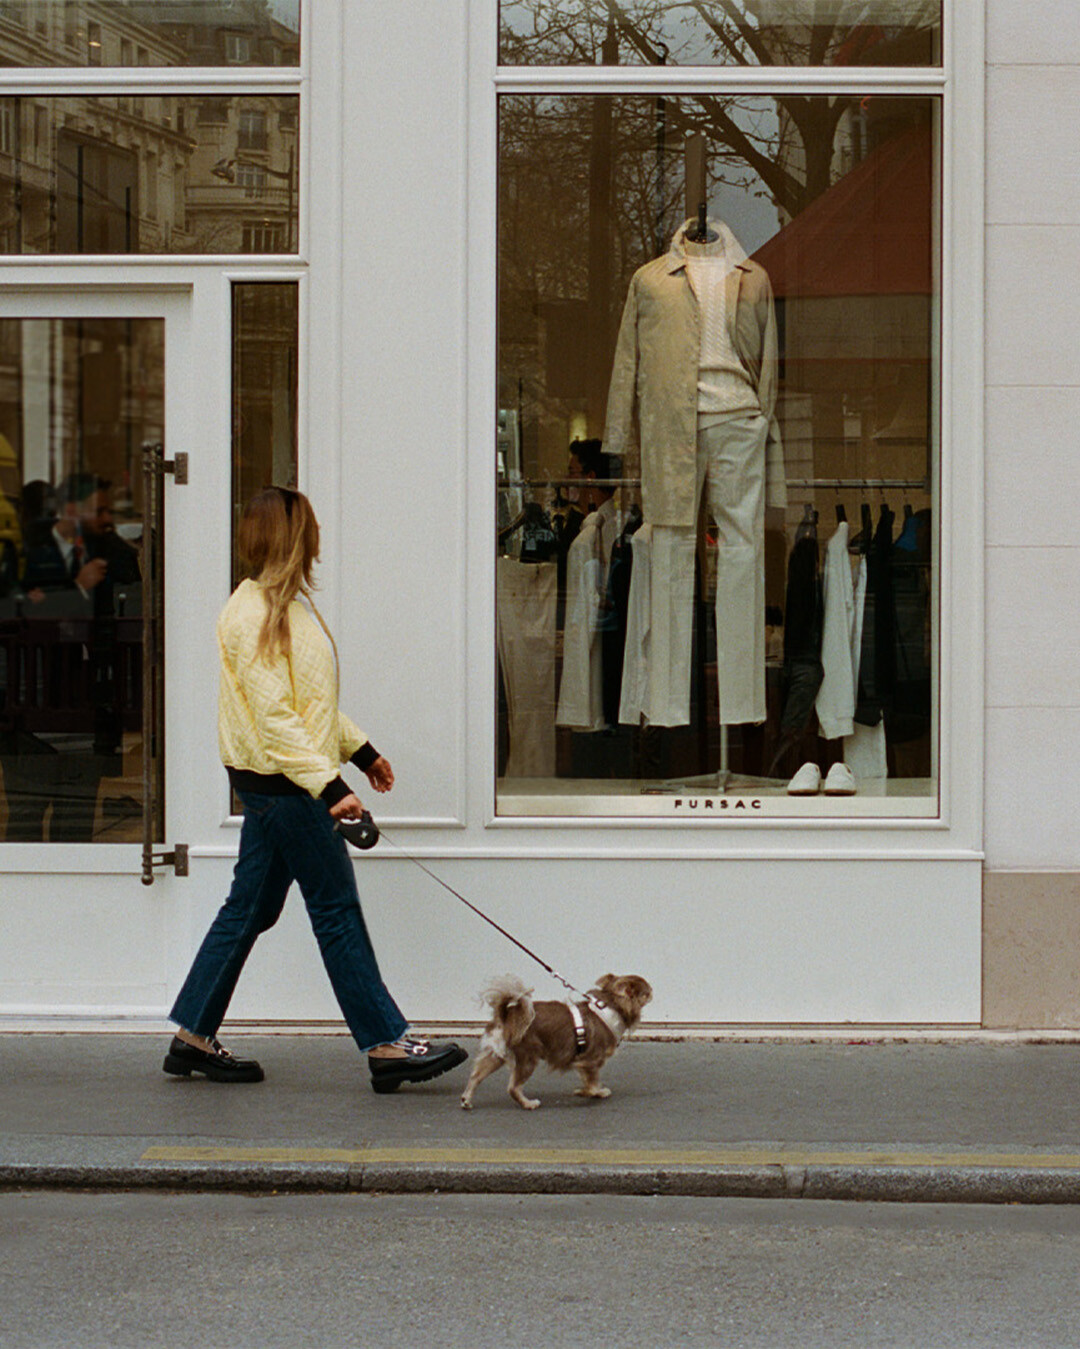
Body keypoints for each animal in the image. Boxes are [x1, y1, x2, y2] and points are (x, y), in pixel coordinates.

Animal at [455, 976, 649, 1111]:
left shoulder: (583, 1063)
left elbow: (589, 1081)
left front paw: (589, 1091)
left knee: (476, 1076)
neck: (608, 1008)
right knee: (513, 1088)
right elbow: (592, 1083)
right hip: (527, 1059)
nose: (652, 989)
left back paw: (466, 1099)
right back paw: (528, 1103)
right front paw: (590, 1092)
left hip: (496, 1055)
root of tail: (506, 1017)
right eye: (646, 992)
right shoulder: (589, 1061)